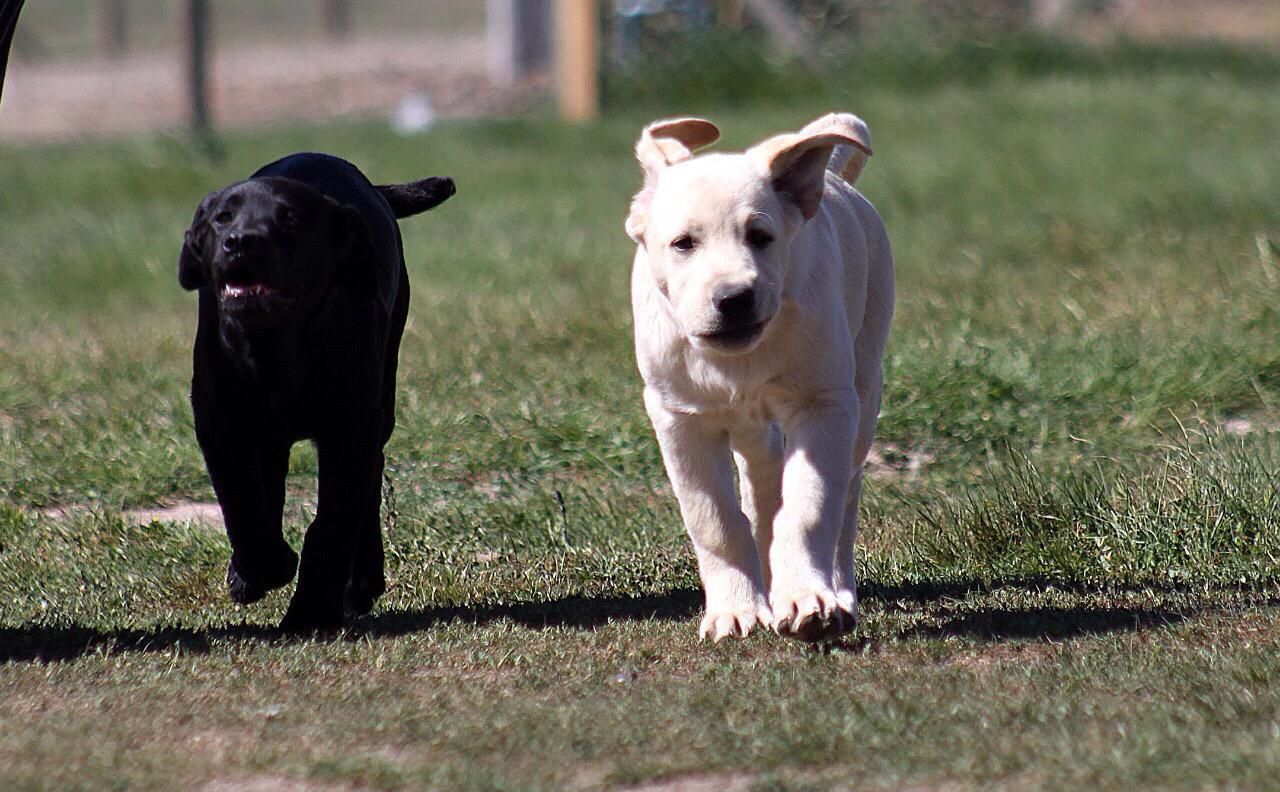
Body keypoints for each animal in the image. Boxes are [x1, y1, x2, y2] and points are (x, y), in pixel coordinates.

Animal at [177, 153, 458, 632]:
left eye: (289, 218)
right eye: (221, 218)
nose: (240, 242)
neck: (277, 348)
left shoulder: (350, 430)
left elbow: (331, 526)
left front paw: (310, 612)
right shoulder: (221, 427)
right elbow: (242, 504)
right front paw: (260, 569)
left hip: (380, 400)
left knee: (369, 485)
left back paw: (361, 582)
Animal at [627, 113, 890, 644]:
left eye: (760, 236)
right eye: (683, 244)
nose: (734, 299)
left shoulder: (824, 406)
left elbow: (810, 506)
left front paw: (810, 600)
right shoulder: (678, 418)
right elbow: (714, 518)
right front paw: (737, 610)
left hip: (863, 386)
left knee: (844, 497)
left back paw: (836, 591)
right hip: (752, 426)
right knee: (763, 480)